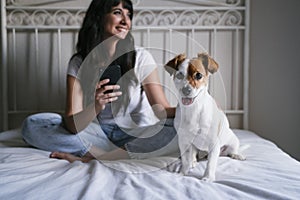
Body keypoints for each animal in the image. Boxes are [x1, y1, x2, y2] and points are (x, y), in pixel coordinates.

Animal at [165, 52, 245, 181]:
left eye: (198, 75)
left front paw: (208, 177)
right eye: (180, 75)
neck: (193, 110)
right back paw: (193, 162)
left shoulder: (213, 143)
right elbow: (185, 160)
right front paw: (183, 172)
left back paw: (237, 155)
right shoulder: (183, 141)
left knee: (230, 152)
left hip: (232, 142)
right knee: (193, 155)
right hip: (193, 146)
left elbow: (211, 163)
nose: (186, 90)